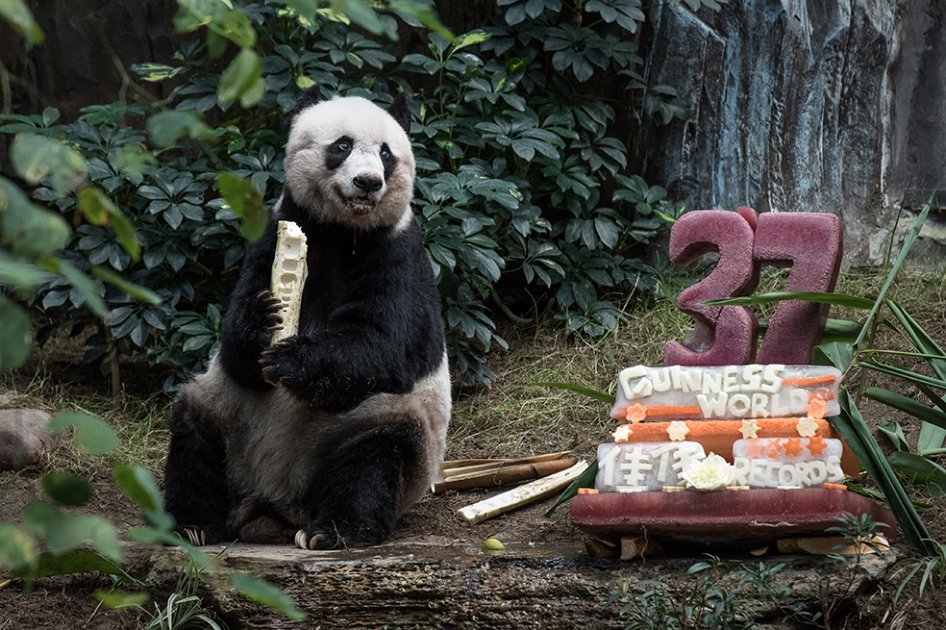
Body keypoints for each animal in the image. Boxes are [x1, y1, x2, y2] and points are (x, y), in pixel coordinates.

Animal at [162, 89, 451, 550]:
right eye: (342, 145)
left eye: (386, 153)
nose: (368, 183)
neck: (341, 231)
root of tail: (275, 501)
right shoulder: (274, 234)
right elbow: (236, 353)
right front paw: (262, 322)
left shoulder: (396, 251)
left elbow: (382, 343)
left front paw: (291, 360)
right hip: (228, 415)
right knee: (195, 434)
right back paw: (193, 523)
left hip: (370, 425)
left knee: (375, 454)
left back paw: (338, 529)